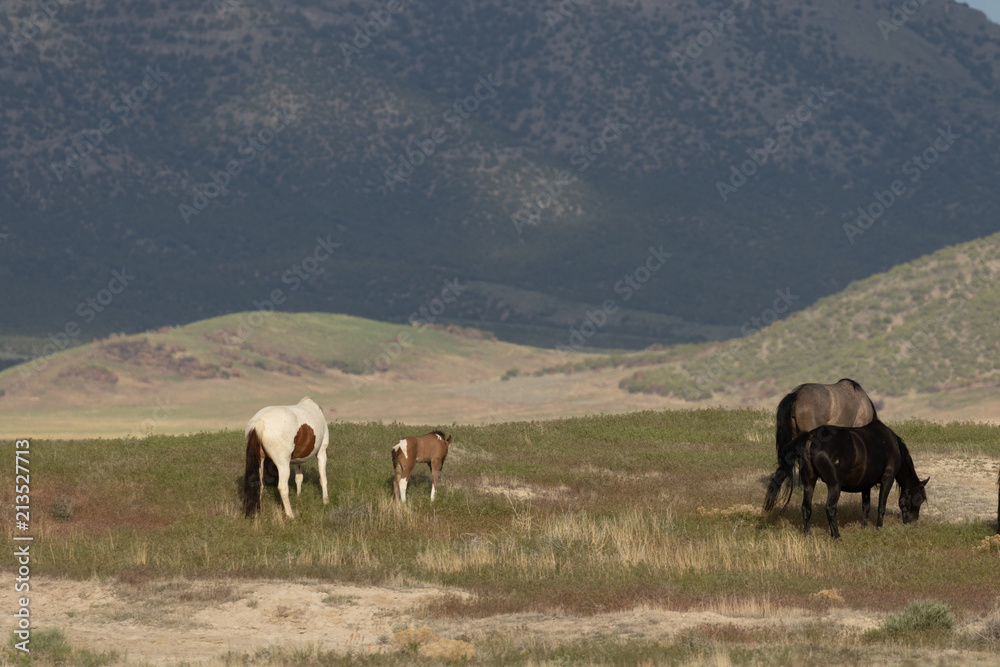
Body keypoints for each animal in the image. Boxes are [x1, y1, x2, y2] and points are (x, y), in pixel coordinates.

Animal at [764, 420, 928, 540]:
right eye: (919, 499)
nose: (913, 523)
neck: (890, 443)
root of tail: (811, 438)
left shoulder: (866, 485)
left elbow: (866, 506)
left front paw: (864, 527)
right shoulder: (888, 479)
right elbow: (881, 506)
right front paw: (879, 528)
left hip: (809, 482)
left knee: (806, 508)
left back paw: (808, 534)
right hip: (834, 486)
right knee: (830, 508)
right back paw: (836, 536)